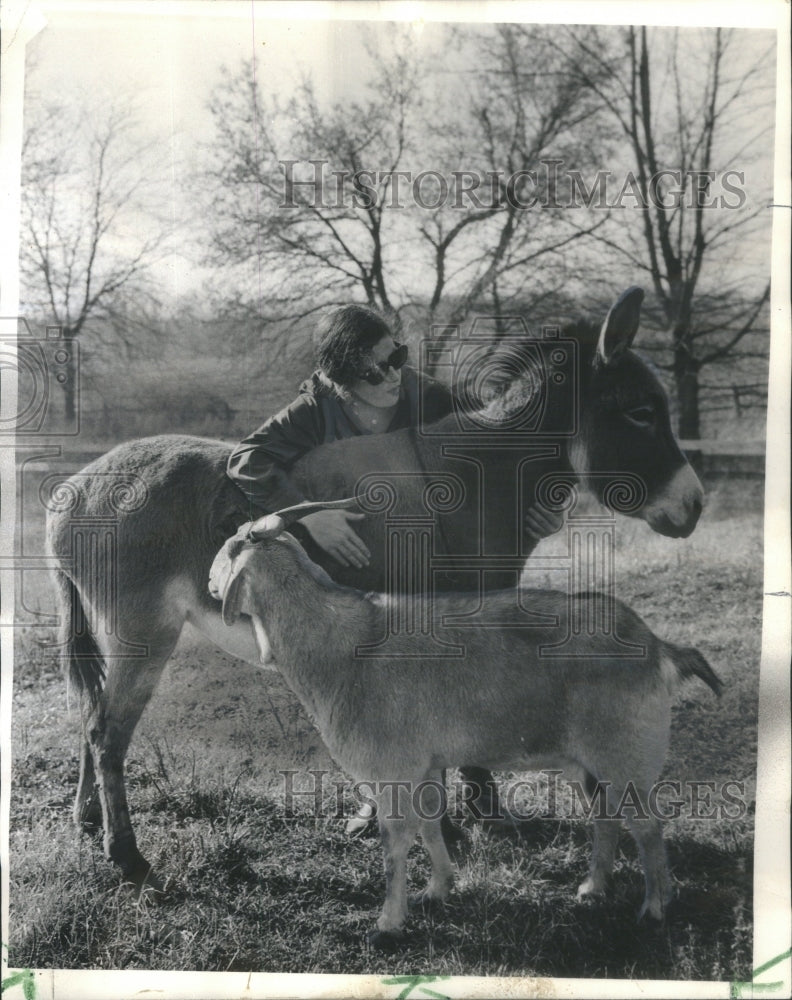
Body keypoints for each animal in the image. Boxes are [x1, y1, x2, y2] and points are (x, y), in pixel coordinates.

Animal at [212, 498, 724, 944]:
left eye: (227, 550)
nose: (212, 584)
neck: (338, 643)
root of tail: (658, 648)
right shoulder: (426, 765)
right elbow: (430, 826)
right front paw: (437, 889)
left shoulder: (392, 770)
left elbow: (395, 844)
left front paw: (388, 923)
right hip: (586, 761)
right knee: (605, 819)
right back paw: (591, 888)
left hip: (625, 753)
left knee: (647, 826)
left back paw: (654, 908)